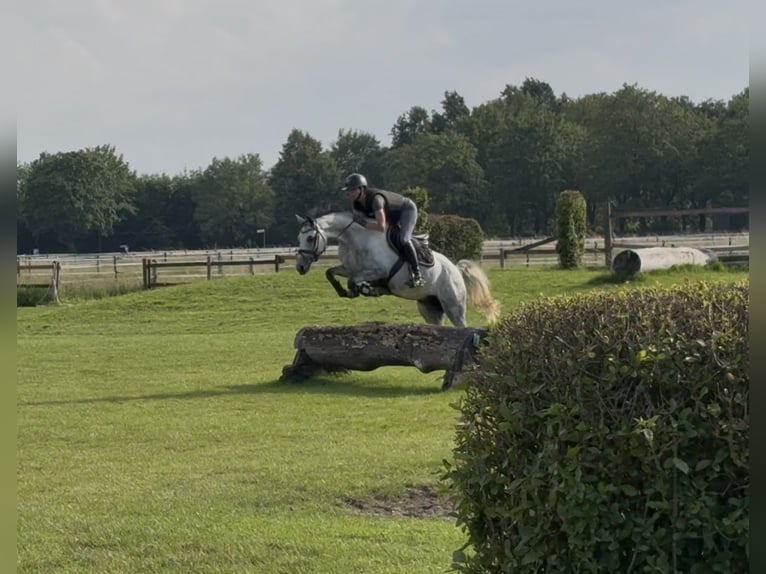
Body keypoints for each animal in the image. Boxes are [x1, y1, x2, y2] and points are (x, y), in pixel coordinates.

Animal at [294, 211, 500, 327]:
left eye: (310, 238)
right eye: (299, 238)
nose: (300, 267)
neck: (355, 239)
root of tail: (455, 269)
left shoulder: (378, 271)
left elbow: (355, 281)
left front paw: (362, 289)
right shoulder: (349, 268)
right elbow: (330, 272)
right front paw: (345, 291)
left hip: (453, 305)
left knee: (461, 326)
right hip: (429, 307)